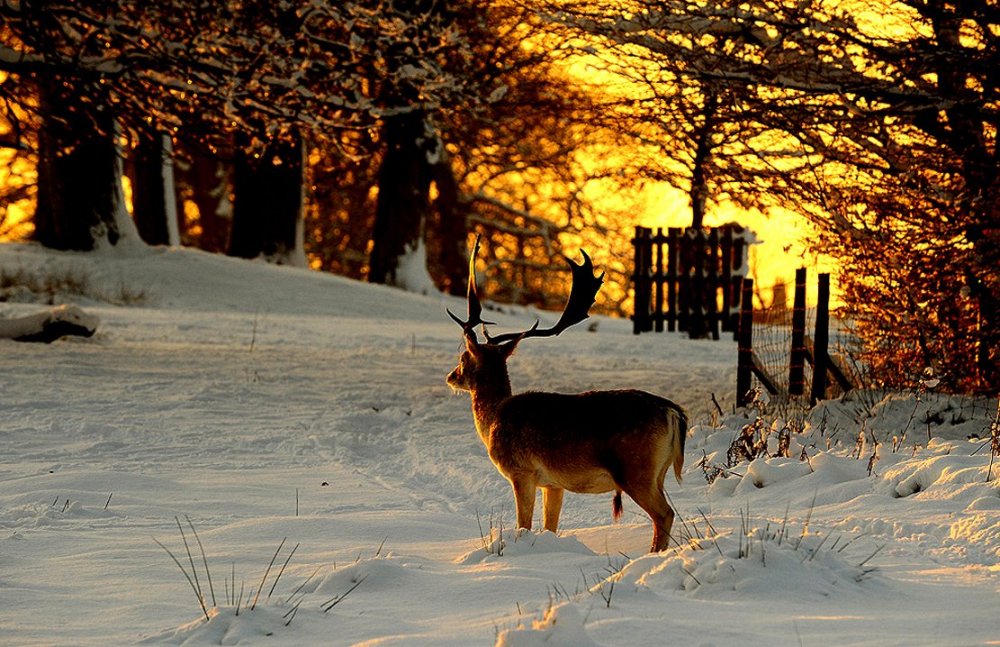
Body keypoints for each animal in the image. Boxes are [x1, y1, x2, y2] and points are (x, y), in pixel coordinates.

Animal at [448, 238, 688, 552]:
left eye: (463, 358)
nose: (451, 376)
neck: (493, 420)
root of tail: (673, 412)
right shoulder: (553, 484)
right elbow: (550, 525)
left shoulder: (521, 472)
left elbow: (523, 524)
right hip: (658, 472)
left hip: (636, 469)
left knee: (665, 514)